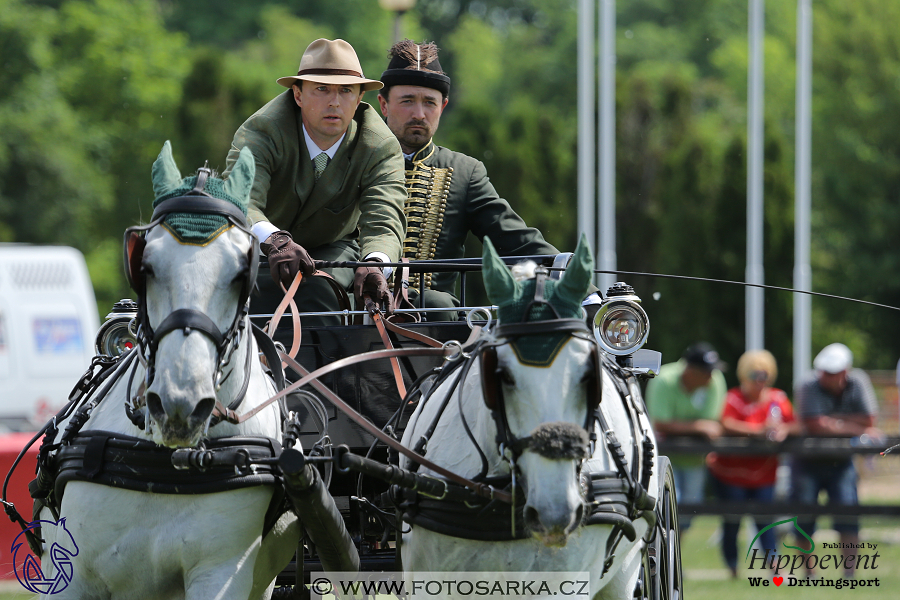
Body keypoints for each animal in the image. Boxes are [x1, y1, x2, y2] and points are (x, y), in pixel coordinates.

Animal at [34, 142, 298, 600]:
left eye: (241, 274)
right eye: (146, 266)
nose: (179, 405)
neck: (161, 465)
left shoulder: (220, 574)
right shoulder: (70, 576)